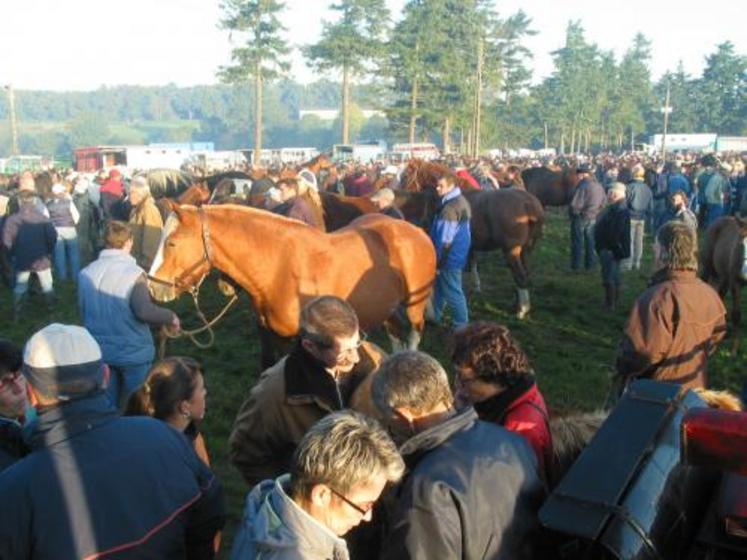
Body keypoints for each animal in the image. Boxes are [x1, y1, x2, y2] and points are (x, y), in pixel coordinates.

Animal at [148, 205, 436, 368]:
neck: (279, 266)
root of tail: (416, 231)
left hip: (414, 305)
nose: (153, 287)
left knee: (413, 335)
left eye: (172, 243)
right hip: (387, 307)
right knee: (396, 334)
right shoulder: (267, 334)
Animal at [700, 215, 747, 352]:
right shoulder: (735, 282)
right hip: (708, 268)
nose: (744, 274)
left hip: (724, 276)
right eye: (741, 244)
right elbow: (736, 315)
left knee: (720, 294)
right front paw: (734, 350)